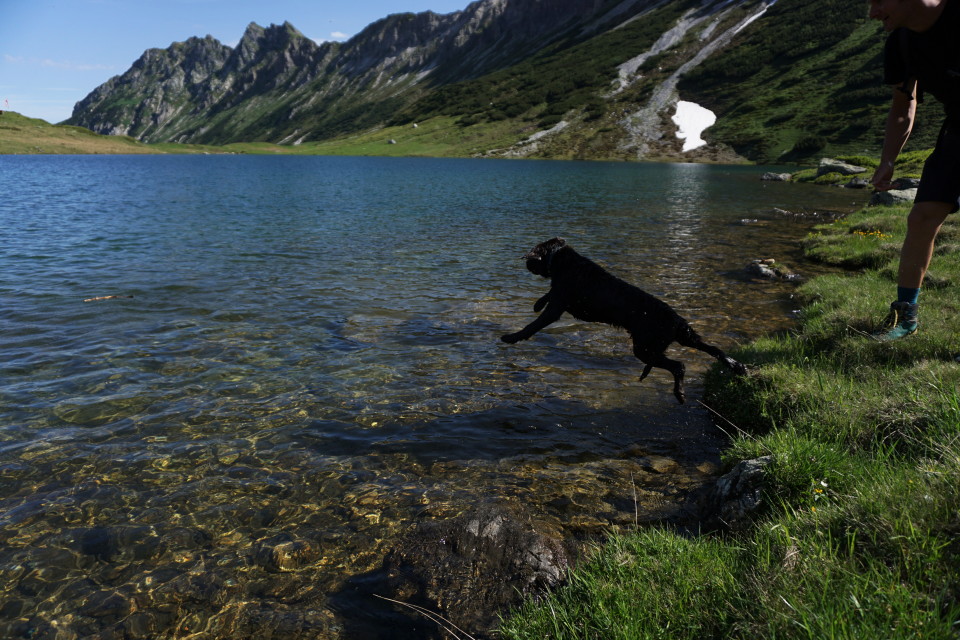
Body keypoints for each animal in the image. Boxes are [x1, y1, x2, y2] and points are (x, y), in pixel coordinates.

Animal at [498, 238, 752, 402]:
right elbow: (547, 295)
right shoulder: (559, 296)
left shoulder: (558, 306)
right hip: (677, 341)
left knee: (679, 366)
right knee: (712, 350)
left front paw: (512, 337)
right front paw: (536, 303)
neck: (563, 261)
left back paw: (679, 394)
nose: (526, 263)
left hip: (645, 348)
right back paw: (737, 367)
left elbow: (534, 324)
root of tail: (677, 320)